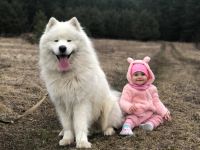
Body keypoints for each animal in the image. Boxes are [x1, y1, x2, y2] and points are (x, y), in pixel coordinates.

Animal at [38, 17, 122, 148]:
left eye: (69, 40)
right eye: (56, 41)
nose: (62, 48)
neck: (66, 75)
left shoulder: (81, 103)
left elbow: (80, 124)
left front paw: (82, 142)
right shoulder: (62, 104)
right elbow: (67, 125)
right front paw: (67, 139)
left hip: (108, 107)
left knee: (108, 124)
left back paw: (108, 131)